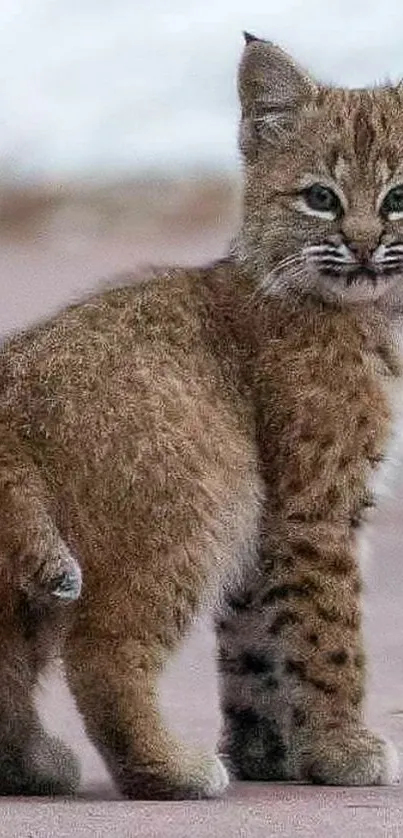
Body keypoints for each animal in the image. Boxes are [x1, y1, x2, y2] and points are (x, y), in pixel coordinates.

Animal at [0, 34, 402, 800]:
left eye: (399, 198)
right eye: (319, 198)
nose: (365, 246)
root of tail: (14, 380)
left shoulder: (272, 528)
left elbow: (256, 644)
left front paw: (266, 756)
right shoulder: (312, 506)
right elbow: (326, 633)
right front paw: (341, 751)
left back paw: (30, 765)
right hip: (197, 499)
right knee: (101, 651)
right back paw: (169, 770)